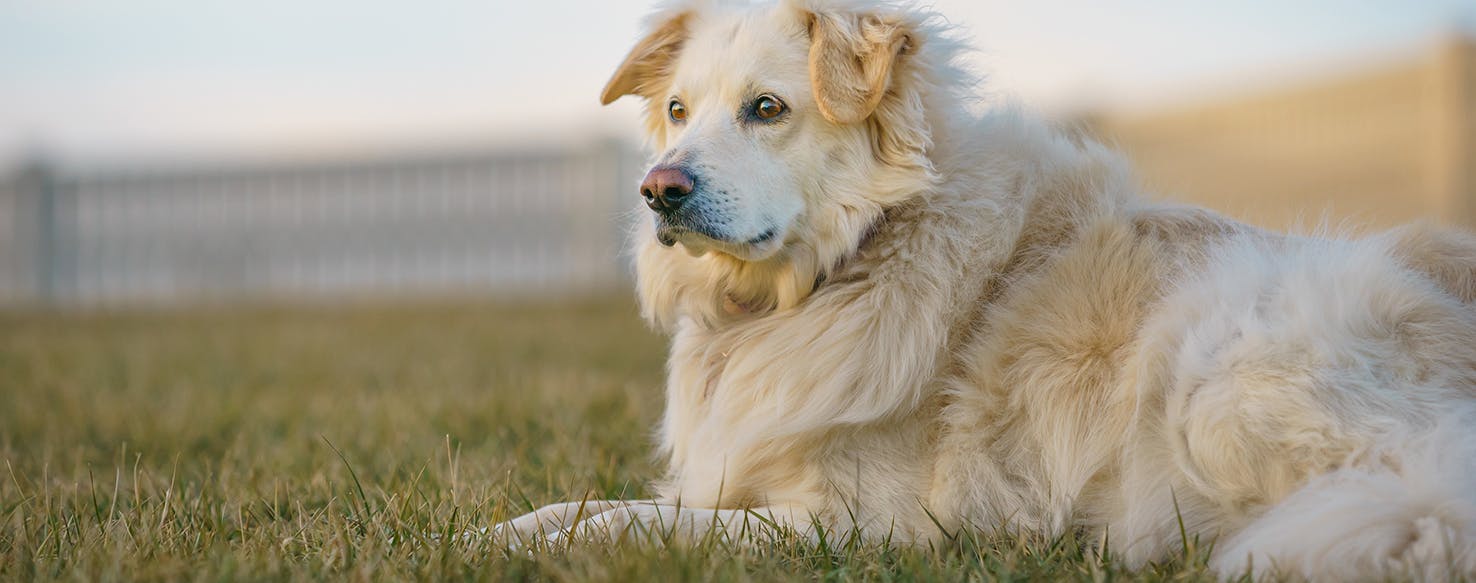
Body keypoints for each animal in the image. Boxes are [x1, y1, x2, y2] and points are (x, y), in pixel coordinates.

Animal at [501, 0, 1476, 578]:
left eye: (768, 108)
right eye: (676, 110)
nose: (658, 188)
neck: (850, 263)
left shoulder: (862, 523)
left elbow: (634, 525)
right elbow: (578, 506)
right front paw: (493, 536)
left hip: (1219, 358)